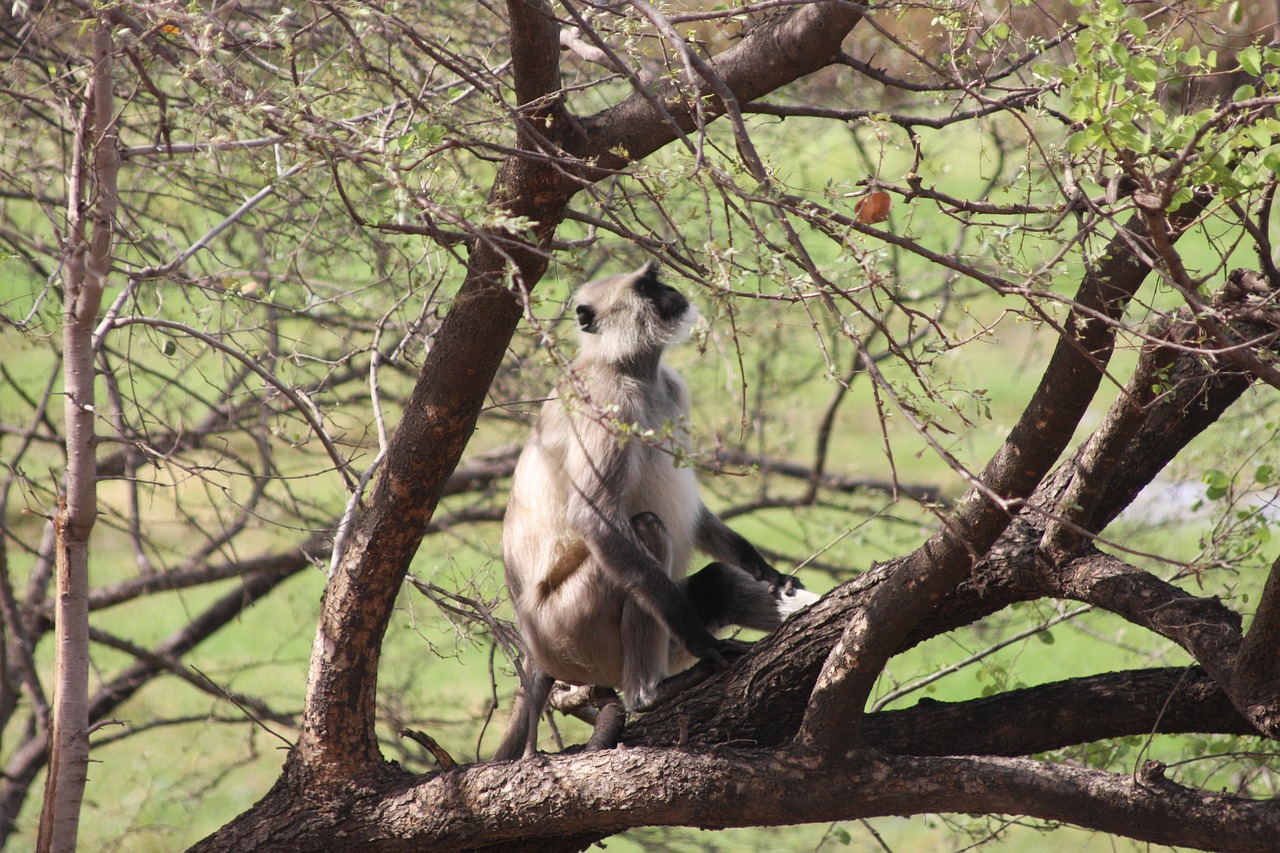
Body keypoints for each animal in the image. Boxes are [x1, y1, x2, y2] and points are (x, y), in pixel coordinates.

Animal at [494, 261, 814, 758]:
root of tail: (534, 645)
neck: (629, 368)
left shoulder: (673, 388)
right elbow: (594, 520)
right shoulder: (605, 403)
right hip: (575, 634)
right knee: (645, 531)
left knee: (717, 583)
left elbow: (700, 521)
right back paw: (650, 693)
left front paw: (764, 567)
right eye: (646, 287)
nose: (672, 291)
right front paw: (703, 643)